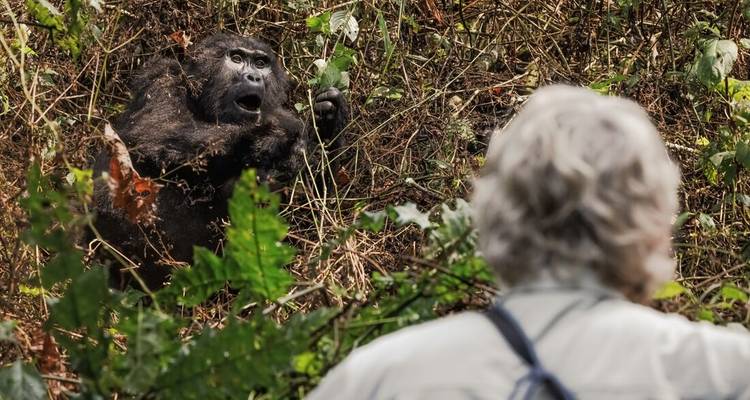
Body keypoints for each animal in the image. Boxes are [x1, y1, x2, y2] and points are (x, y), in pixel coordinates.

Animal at [90, 33, 349, 289]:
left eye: (261, 63)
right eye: (236, 58)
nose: (254, 77)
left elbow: (309, 210)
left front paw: (329, 119)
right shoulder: (161, 79)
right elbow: (153, 136)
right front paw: (267, 134)